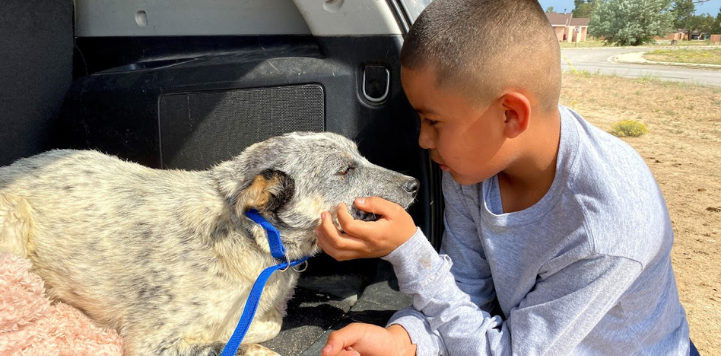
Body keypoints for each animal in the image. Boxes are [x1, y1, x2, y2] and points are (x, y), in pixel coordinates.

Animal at [0, 132, 420, 356]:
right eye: (345, 171)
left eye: (360, 157)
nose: (415, 183)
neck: (254, 241)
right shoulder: (151, 342)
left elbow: (266, 324)